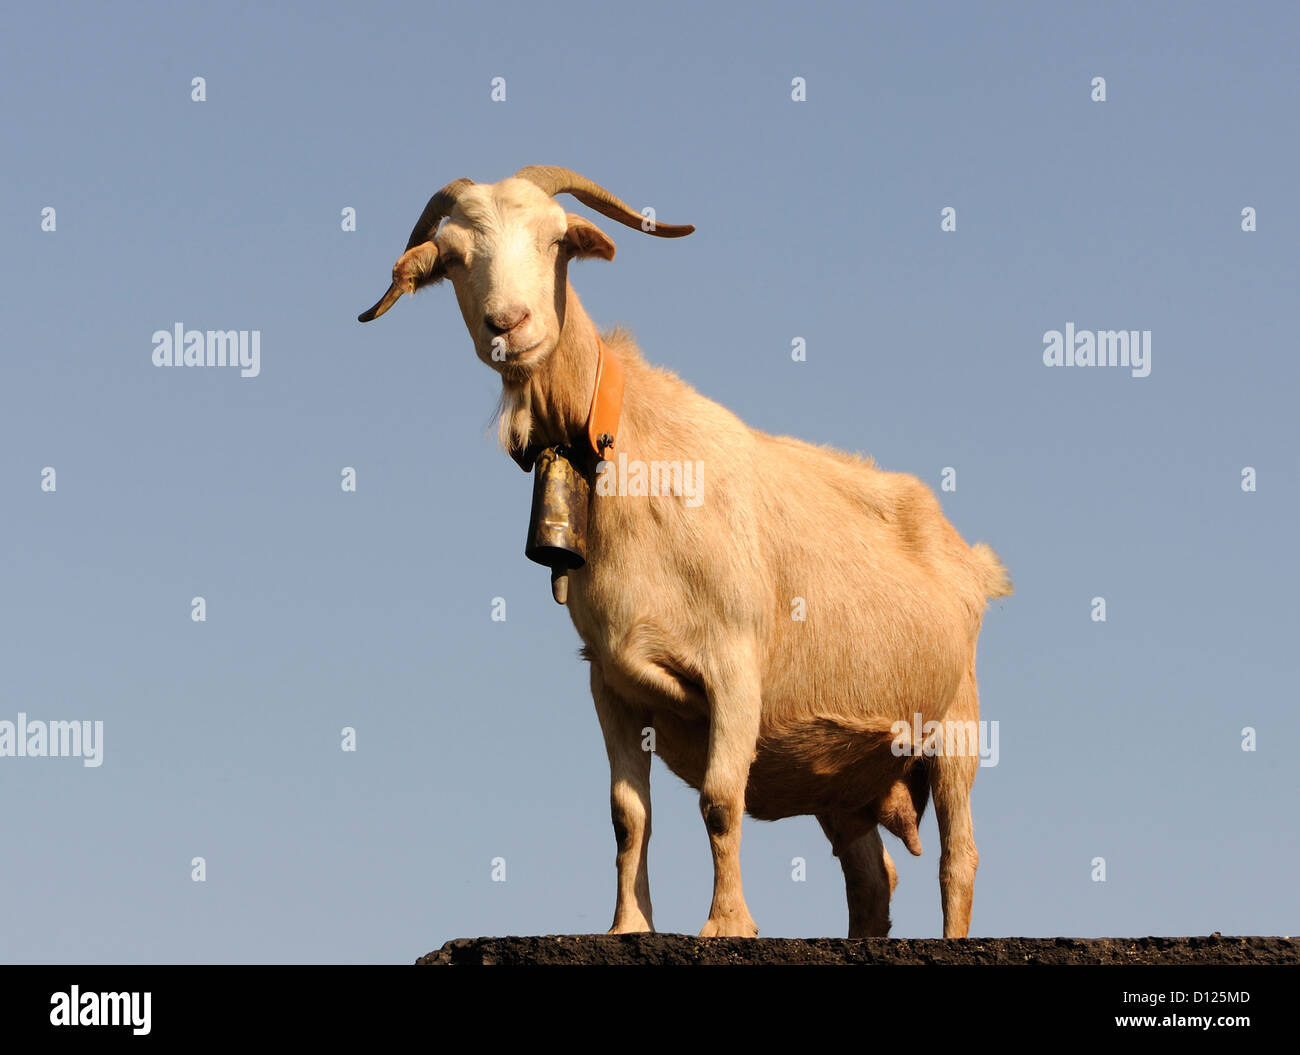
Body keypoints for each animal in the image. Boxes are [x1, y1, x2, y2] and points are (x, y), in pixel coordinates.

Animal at [359, 166, 1012, 937]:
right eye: (456, 258)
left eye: (556, 240)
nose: (508, 325)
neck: (624, 448)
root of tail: (973, 558)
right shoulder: (610, 682)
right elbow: (627, 816)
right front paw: (628, 924)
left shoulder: (734, 665)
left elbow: (721, 799)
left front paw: (727, 923)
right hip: (839, 773)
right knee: (871, 876)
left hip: (957, 720)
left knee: (958, 857)